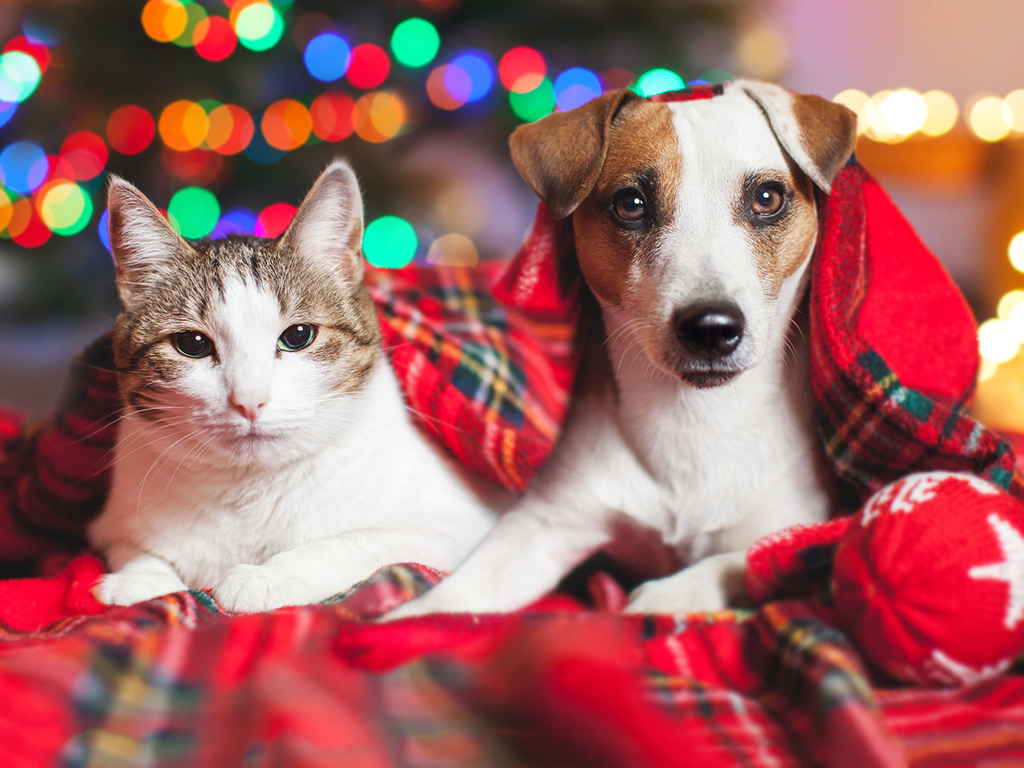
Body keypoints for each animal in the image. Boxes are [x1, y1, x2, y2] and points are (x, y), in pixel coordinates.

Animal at [90, 160, 505, 614]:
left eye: (298, 336)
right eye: (192, 344)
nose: (249, 400)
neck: (249, 494)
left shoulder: (456, 527)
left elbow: (354, 544)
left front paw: (265, 577)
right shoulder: (110, 526)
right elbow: (140, 552)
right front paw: (142, 579)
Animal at [389, 79, 856, 618]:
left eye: (767, 197)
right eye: (631, 204)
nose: (711, 327)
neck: (695, 419)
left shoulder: (795, 528)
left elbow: (751, 559)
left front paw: (668, 595)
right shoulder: (544, 525)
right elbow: (457, 595)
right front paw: (398, 619)